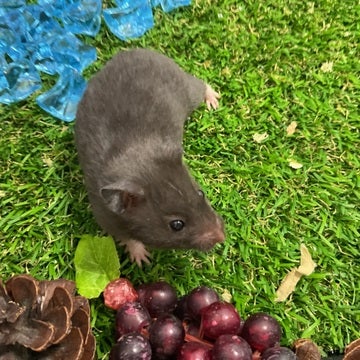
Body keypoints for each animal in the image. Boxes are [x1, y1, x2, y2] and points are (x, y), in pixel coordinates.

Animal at [75, 48, 225, 264]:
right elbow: (128, 239)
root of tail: (135, 51)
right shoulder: (106, 219)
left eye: (200, 193)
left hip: (187, 90)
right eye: (177, 225)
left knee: (201, 83)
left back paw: (214, 101)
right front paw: (143, 260)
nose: (222, 238)